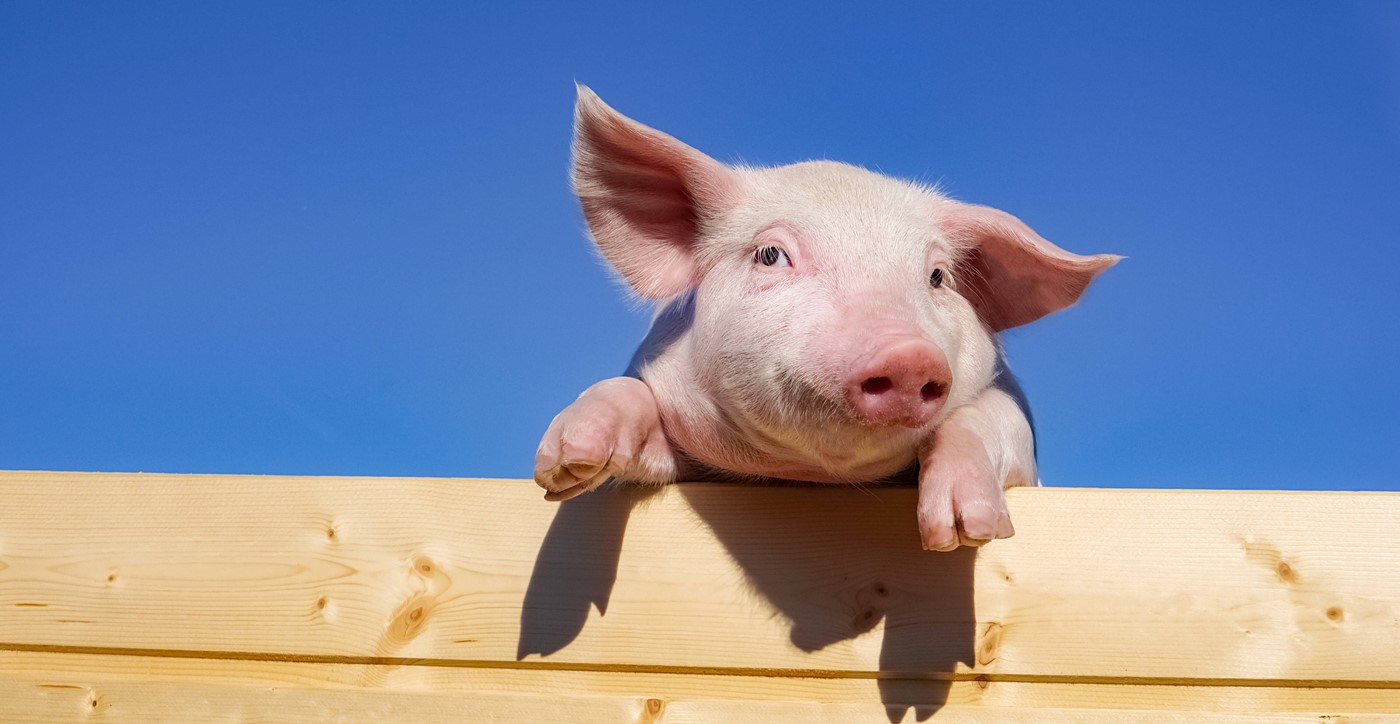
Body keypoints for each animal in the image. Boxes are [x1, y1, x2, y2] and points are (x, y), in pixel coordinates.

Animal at [535, 86, 1119, 551]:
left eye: (937, 277)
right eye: (771, 254)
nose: (907, 353)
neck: (812, 478)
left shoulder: (1019, 432)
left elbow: (987, 420)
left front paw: (963, 533)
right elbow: (628, 397)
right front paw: (566, 464)